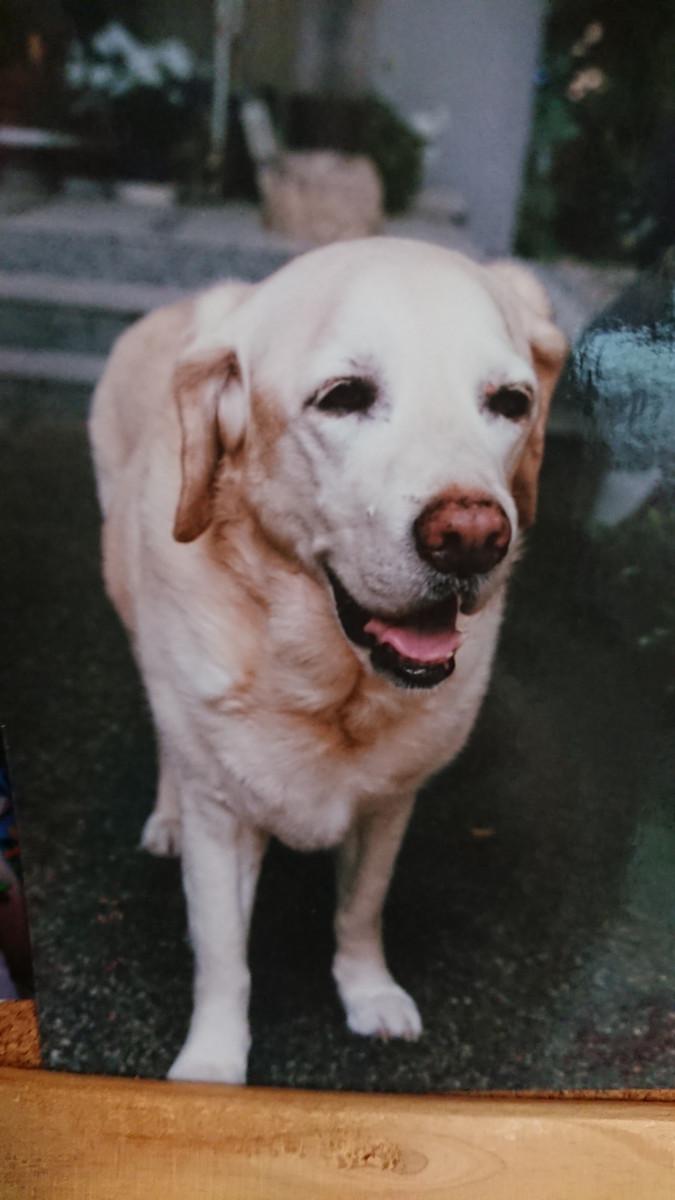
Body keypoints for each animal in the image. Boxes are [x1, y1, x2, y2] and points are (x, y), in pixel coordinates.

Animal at [89, 238, 566, 1084]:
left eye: (510, 402)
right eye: (344, 397)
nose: (473, 537)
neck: (333, 684)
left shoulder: (389, 804)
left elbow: (360, 908)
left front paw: (366, 991)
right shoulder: (223, 817)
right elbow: (223, 955)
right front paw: (213, 1066)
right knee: (170, 741)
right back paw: (166, 815)